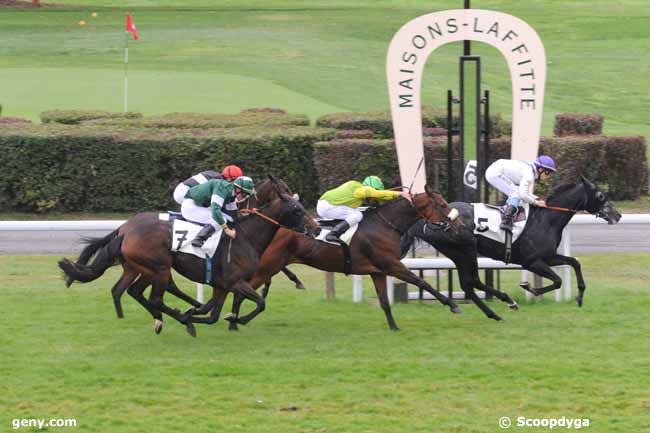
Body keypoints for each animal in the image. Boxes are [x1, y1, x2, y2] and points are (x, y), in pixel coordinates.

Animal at [58, 177, 316, 336]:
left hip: (141, 268)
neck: (245, 237)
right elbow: (260, 303)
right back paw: (181, 320)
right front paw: (233, 319)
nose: (314, 228)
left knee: (130, 291)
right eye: (297, 210)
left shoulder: (222, 285)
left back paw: (165, 319)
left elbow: (214, 314)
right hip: (160, 268)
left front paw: (210, 315)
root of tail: (125, 229)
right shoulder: (235, 282)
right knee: (155, 298)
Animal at [208, 186, 460, 330]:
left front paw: (394, 327)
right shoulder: (392, 265)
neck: (385, 225)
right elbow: (422, 282)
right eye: (442, 204)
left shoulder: (377, 271)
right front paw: (453, 305)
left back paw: (230, 320)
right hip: (266, 267)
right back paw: (234, 321)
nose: (458, 224)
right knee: (241, 291)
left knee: (241, 291)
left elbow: (385, 302)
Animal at [402, 176, 620, 314]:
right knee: (472, 281)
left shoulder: (548, 256)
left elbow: (574, 262)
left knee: (470, 283)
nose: (617, 215)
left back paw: (503, 304)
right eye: (601, 196)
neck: (546, 219)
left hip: (458, 253)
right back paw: (508, 301)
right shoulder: (531, 261)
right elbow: (558, 280)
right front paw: (530, 288)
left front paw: (580, 296)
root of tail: (425, 220)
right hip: (465, 250)